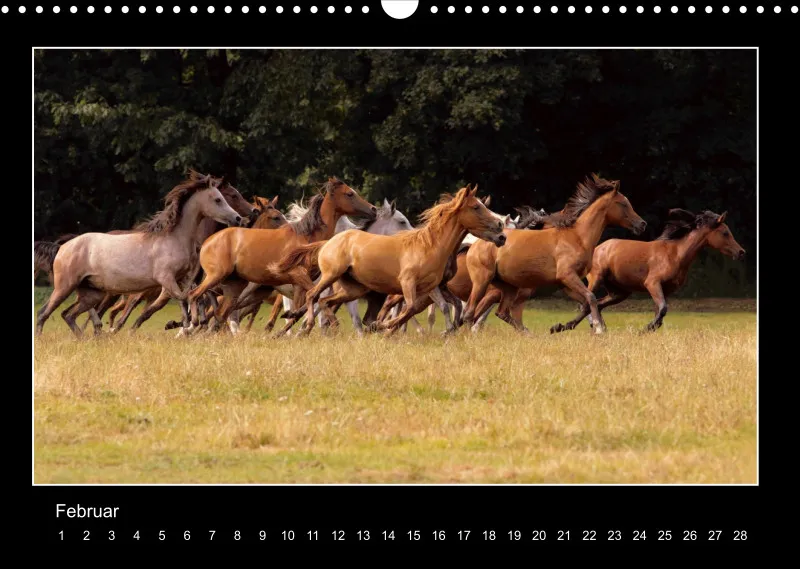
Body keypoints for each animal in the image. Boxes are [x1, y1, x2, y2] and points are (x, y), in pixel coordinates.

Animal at [35, 171, 244, 337]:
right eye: (218, 199)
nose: (238, 218)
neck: (173, 237)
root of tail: (62, 248)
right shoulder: (166, 279)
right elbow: (185, 299)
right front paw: (187, 326)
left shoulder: (182, 279)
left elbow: (190, 298)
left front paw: (188, 326)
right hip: (65, 287)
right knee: (44, 313)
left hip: (90, 293)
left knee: (68, 314)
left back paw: (86, 338)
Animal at [186, 177, 377, 335]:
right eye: (349, 193)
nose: (373, 209)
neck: (306, 237)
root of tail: (207, 242)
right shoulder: (298, 276)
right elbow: (312, 298)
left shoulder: (300, 284)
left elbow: (307, 304)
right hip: (218, 277)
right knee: (196, 296)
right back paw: (192, 325)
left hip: (238, 287)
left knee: (221, 313)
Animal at [276, 184, 507, 337]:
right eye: (476, 207)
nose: (501, 230)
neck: (430, 246)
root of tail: (328, 242)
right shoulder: (408, 283)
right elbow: (410, 309)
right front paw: (385, 328)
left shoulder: (431, 288)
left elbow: (443, 308)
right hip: (331, 276)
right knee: (313, 297)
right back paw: (305, 326)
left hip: (353, 289)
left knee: (325, 302)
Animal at [462, 174, 647, 335]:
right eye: (623, 204)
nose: (642, 224)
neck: (577, 237)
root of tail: (475, 244)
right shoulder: (567, 276)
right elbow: (591, 297)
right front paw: (599, 329)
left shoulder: (565, 283)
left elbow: (586, 304)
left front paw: (560, 327)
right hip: (482, 281)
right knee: (471, 311)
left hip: (508, 287)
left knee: (499, 312)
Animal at [551, 208, 745, 333]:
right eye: (725, 233)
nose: (741, 252)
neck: (676, 254)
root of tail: (598, 247)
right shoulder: (652, 283)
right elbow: (663, 309)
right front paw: (645, 329)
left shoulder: (665, 290)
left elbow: (659, 312)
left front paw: (649, 329)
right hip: (597, 279)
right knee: (586, 303)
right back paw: (563, 327)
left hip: (619, 292)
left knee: (596, 304)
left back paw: (597, 328)